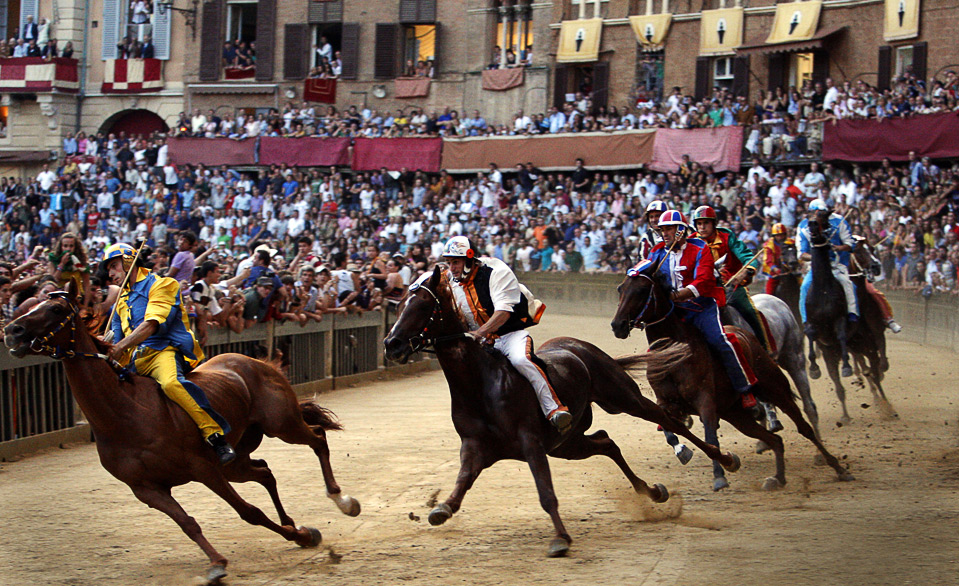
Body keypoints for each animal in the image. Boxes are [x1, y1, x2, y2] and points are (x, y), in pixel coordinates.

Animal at [1, 282, 362, 580]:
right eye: (31, 303)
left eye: (56, 309)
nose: (12, 330)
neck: (126, 416)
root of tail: (255, 362)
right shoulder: (147, 489)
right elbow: (188, 523)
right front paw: (221, 561)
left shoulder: (203, 468)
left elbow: (249, 512)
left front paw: (298, 533)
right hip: (236, 460)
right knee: (264, 471)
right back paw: (293, 522)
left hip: (280, 424)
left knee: (317, 438)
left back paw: (342, 499)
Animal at [382, 264, 744, 556]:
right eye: (400, 304)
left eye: (424, 304)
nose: (391, 344)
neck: (480, 384)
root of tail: (580, 347)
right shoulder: (476, 446)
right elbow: (461, 484)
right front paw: (440, 508)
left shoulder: (530, 441)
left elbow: (546, 493)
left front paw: (560, 538)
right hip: (567, 443)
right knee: (606, 441)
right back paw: (653, 491)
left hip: (622, 398)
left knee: (670, 421)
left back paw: (724, 460)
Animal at [608, 264, 856, 488]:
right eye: (620, 288)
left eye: (642, 290)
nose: (617, 325)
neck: (674, 353)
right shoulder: (666, 402)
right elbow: (669, 431)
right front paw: (684, 451)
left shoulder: (705, 401)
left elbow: (710, 436)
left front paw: (719, 476)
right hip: (735, 413)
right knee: (774, 439)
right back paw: (778, 477)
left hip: (779, 385)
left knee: (804, 424)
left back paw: (837, 467)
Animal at [804, 214, 892, 420]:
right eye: (859, 252)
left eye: (873, 249)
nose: (876, 267)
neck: (824, 291)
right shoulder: (815, 326)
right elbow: (811, 335)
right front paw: (813, 368)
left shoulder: (862, 329)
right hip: (839, 351)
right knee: (844, 380)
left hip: (864, 345)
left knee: (874, 372)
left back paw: (887, 407)